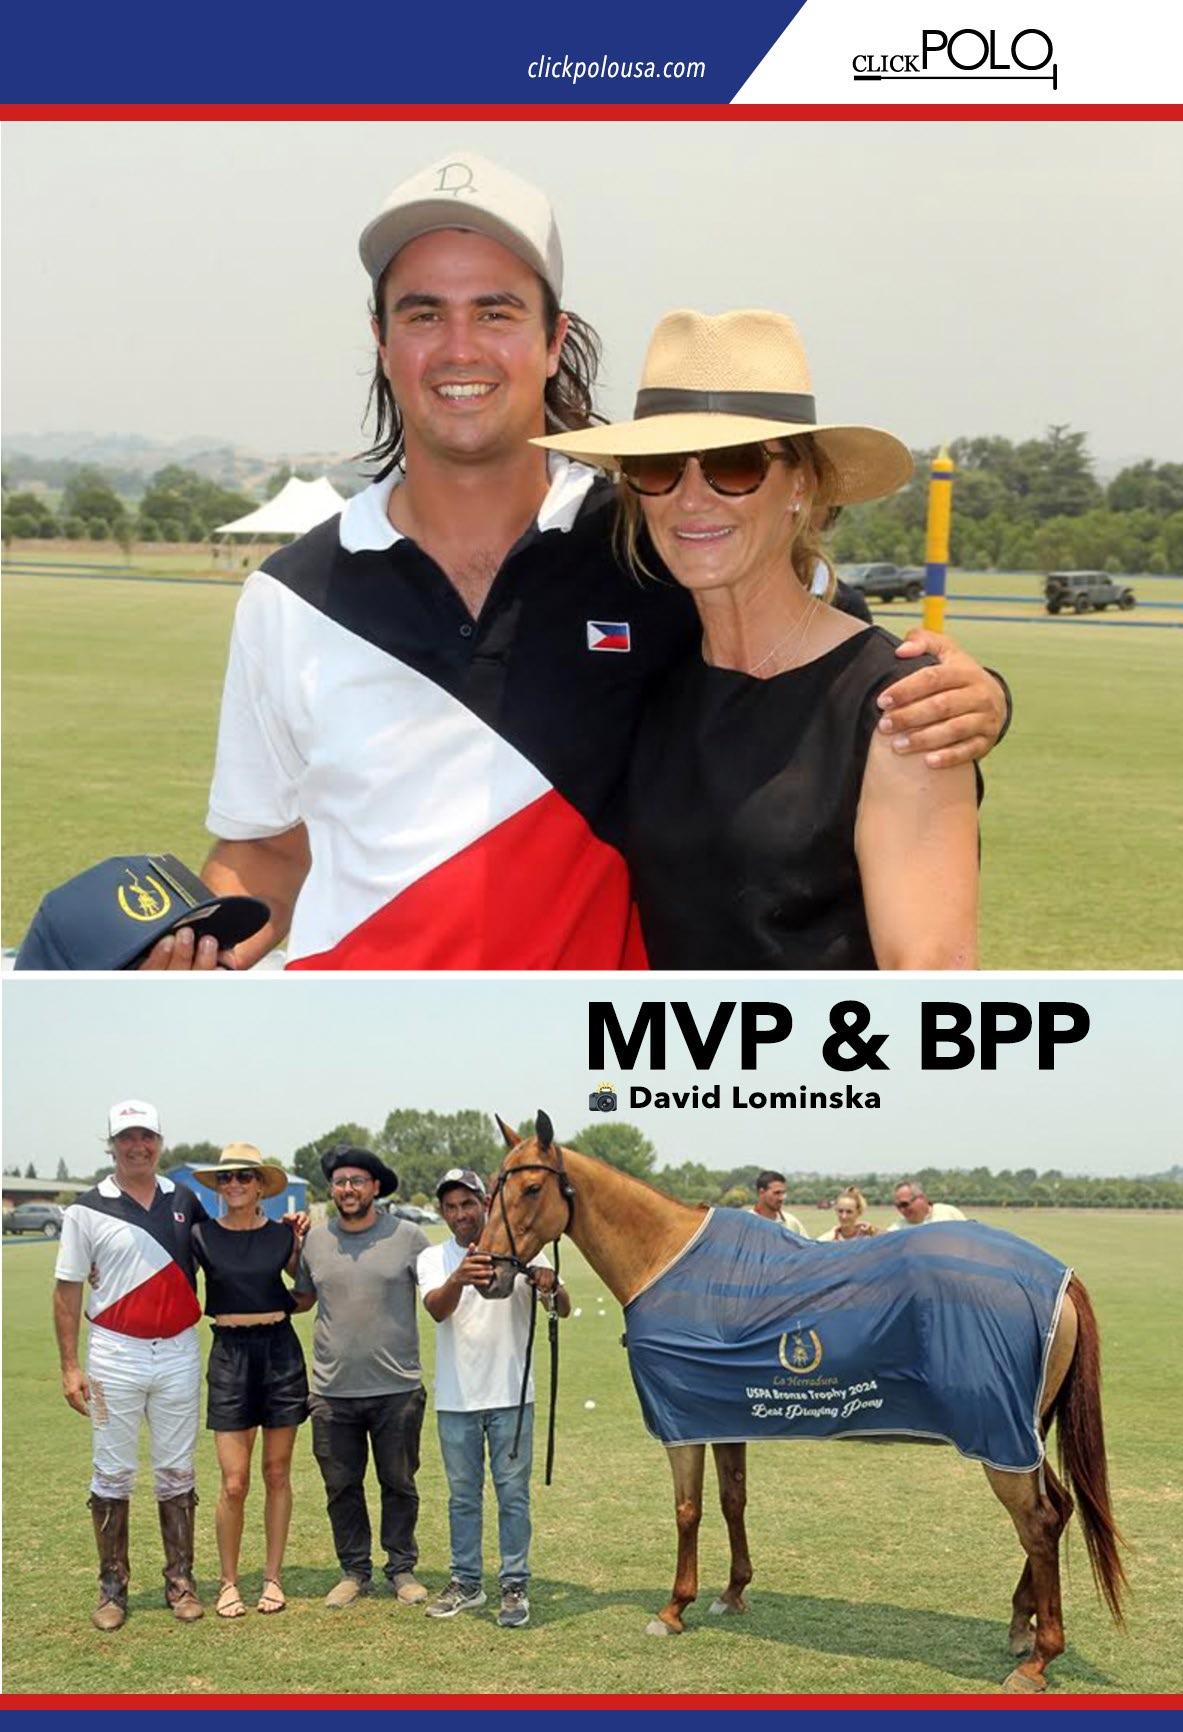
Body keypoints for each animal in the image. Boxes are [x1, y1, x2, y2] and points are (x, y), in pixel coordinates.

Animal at [477, 1112, 1127, 1694]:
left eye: (531, 1188)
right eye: (492, 1186)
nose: (487, 1272)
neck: (667, 1259)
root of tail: (1058, 1277)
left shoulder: (681, 1423)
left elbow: (688, 1510)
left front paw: (673, 1608)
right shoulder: (723, 1416)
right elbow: (733, 1500)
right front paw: (733, 1592)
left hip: (1000, 1439)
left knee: (1038, 1525)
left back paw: (1038, 1659)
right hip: (1022, 1436)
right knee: (1057, 1511)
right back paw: (1021, 1626)